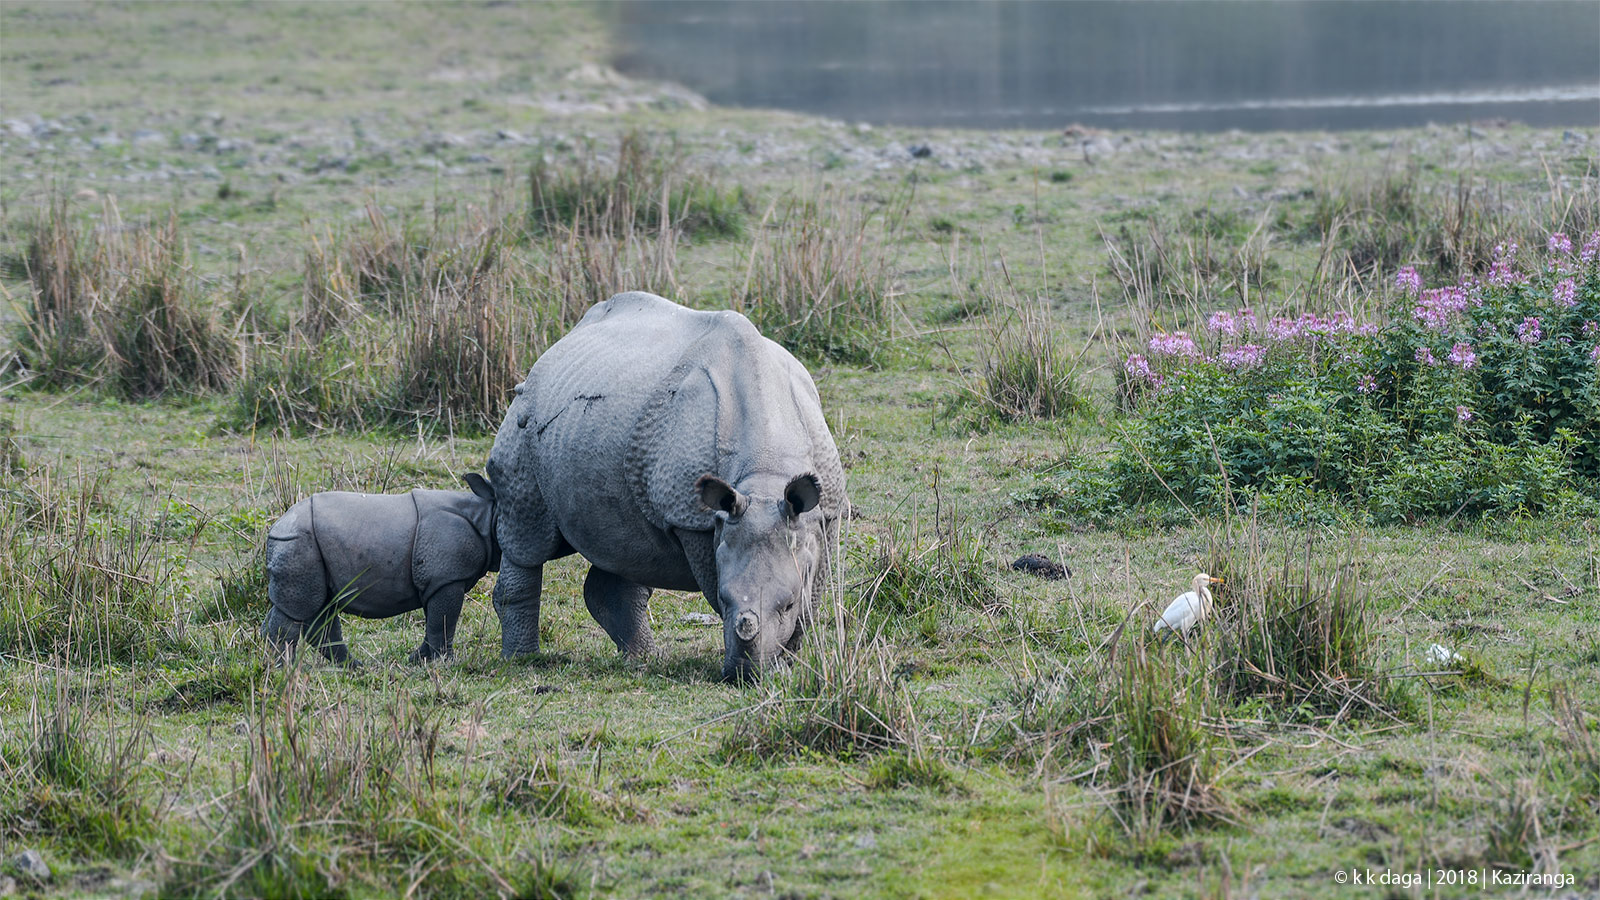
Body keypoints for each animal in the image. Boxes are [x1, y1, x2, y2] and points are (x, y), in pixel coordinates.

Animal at [262, 474, 499, 662]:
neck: (485, 514)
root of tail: (277, 526)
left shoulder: (435, 579)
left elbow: (434, 620)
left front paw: (418, 660)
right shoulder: (447, 577)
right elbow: (444, 620)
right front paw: (443, 663)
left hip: (304, 546)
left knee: (318, 607)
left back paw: (351, 667)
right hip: (297, 542)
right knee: (299, 609)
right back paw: (284, 670)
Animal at [489, 291, 851, 675]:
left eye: (787, 604)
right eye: (724, 600)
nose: (744, 673)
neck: (765, 473)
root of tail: (559, 343)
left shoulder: (823, 515)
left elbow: (811, 601)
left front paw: (788, 665)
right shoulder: (693, 518)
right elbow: (714, 576)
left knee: (627, 545)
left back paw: (641, 661)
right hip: (525, 412)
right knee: (528, 537)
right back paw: (523, 660)